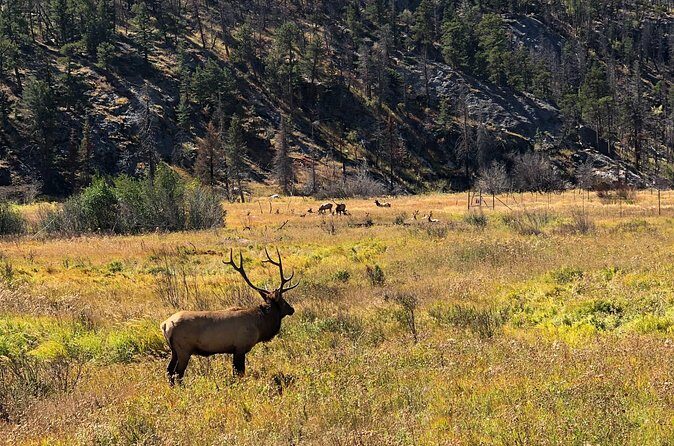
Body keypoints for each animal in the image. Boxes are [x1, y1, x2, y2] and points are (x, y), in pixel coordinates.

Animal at [160, 248, 299, 386]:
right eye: (283, 301)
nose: (292, 309)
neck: (260, 326)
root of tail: (165, 325)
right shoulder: (240, 347)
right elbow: (239, 372)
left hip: (174, 351)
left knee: (169, 370)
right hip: (184, 349)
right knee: (178, 373)